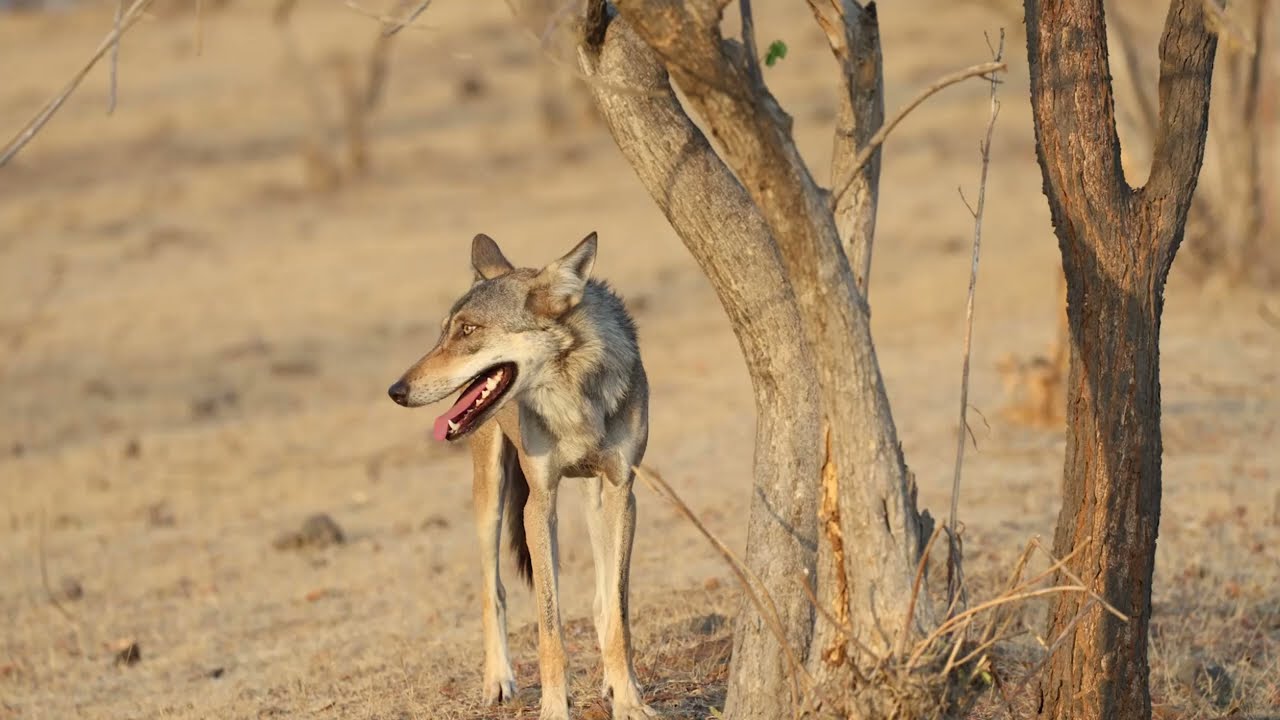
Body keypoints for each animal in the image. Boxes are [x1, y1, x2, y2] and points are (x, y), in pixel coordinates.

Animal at [387, 233, 654, 720]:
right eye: (444, 330)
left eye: (468, 331)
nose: (396, 390)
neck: (571, 397)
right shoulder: (538, 504)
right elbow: (549, 627)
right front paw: (554, 708)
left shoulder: (623, 491)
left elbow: (618, 615)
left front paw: (628, 699)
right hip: (489, 497)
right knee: (492, 590)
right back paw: (498, 680)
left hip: (593, 499)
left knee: (602, 600)